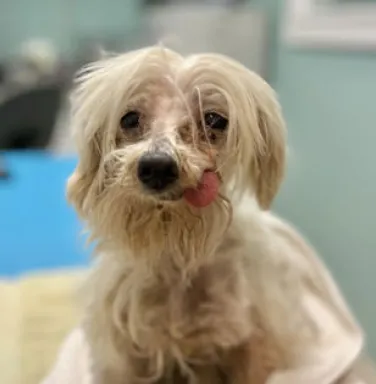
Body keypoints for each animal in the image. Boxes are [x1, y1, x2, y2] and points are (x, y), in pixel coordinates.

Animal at [43, 46, 364, 382]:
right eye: (129, 118)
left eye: (214, 119)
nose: (157, 166)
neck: (176, 255)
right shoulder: (121, 355)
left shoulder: (254, 342)